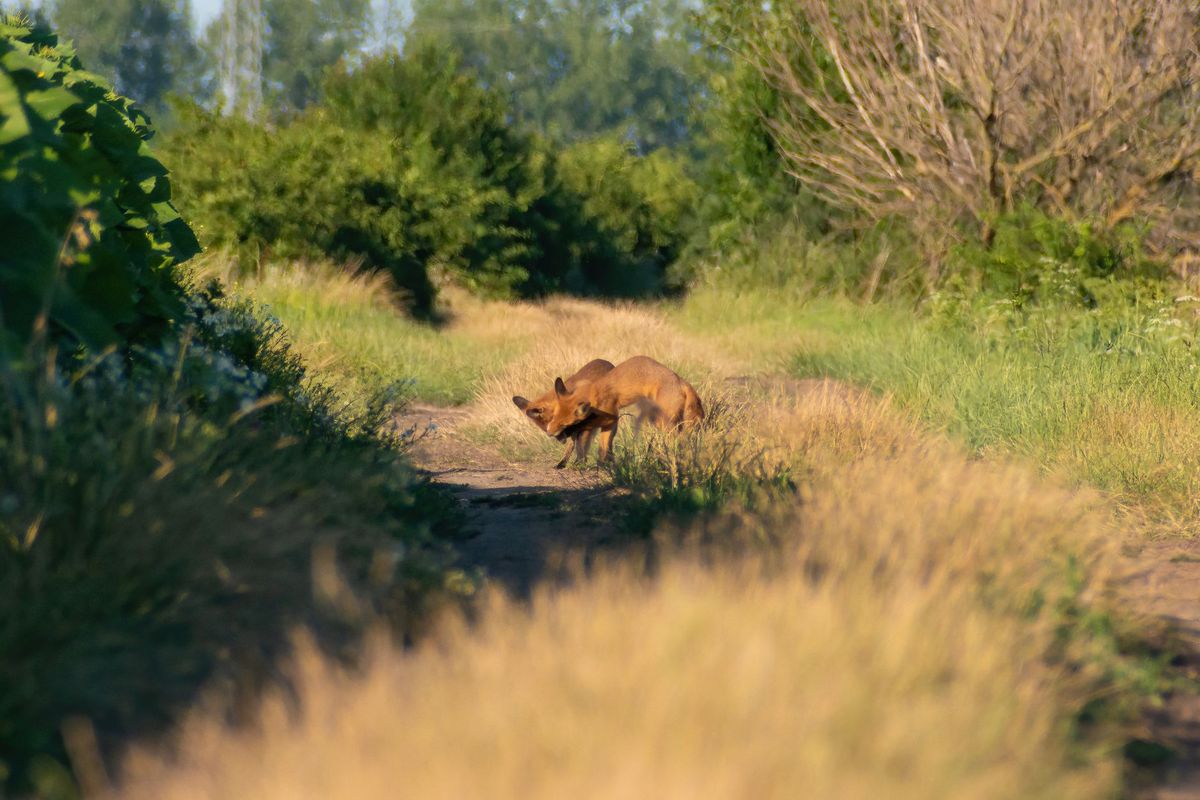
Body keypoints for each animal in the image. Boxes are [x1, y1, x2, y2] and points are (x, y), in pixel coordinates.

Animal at [543, 355, 705, 462]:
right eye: (554, 416)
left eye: (566, 423)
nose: (549, 432)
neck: (593, 391)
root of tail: (682, 381)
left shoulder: (611, 418)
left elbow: (602, 444)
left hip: (662, 422)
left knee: (677, 442)